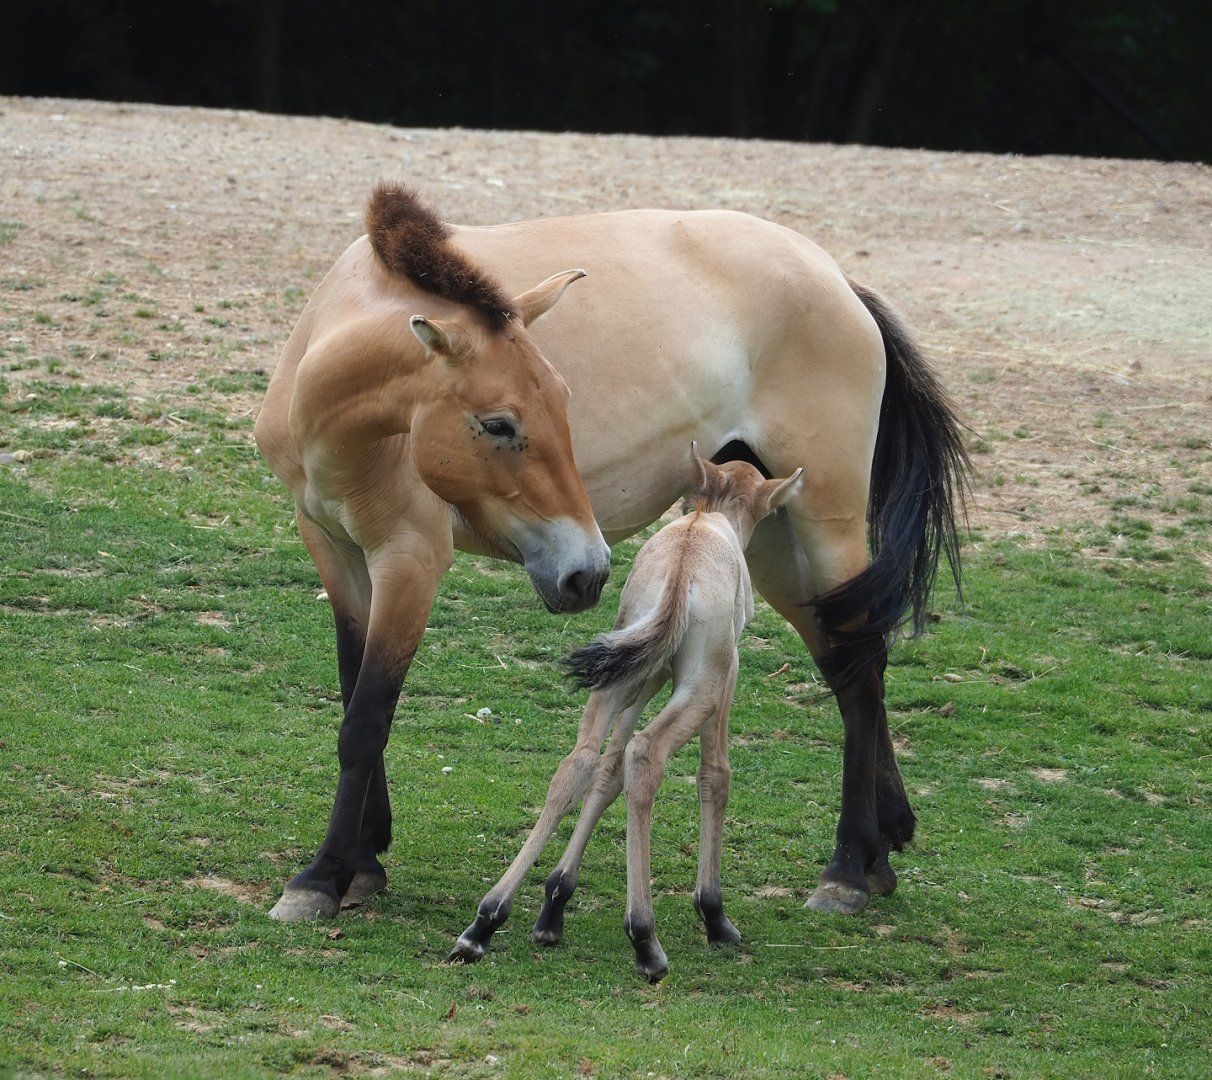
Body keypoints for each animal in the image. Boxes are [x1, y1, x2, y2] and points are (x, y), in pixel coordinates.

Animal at [254, 183, 968, 926]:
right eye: (498, 424)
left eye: (564, 402)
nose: (587, 572)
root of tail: (838, 280)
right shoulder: (335, 549)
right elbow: (354, 692)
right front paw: (365, 859)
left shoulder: (410, 560)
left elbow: (367, 717)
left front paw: (323, 877)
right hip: (773, 541)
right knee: (844, 662)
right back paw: (882, 849)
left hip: (824, 527)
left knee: (861, 672)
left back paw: (849, 869)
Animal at [450, 446, 803, 981]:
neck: (708, 522)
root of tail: (682, 569)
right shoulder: (727, 678)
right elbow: (714, 774)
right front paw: (714, 915)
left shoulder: (645, 676)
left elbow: (606, 772)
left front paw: (555, 900)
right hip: (699, 688)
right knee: (647, 755)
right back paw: (645, 937)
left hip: (618, 677)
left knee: (580, 760)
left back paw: (485, 922)